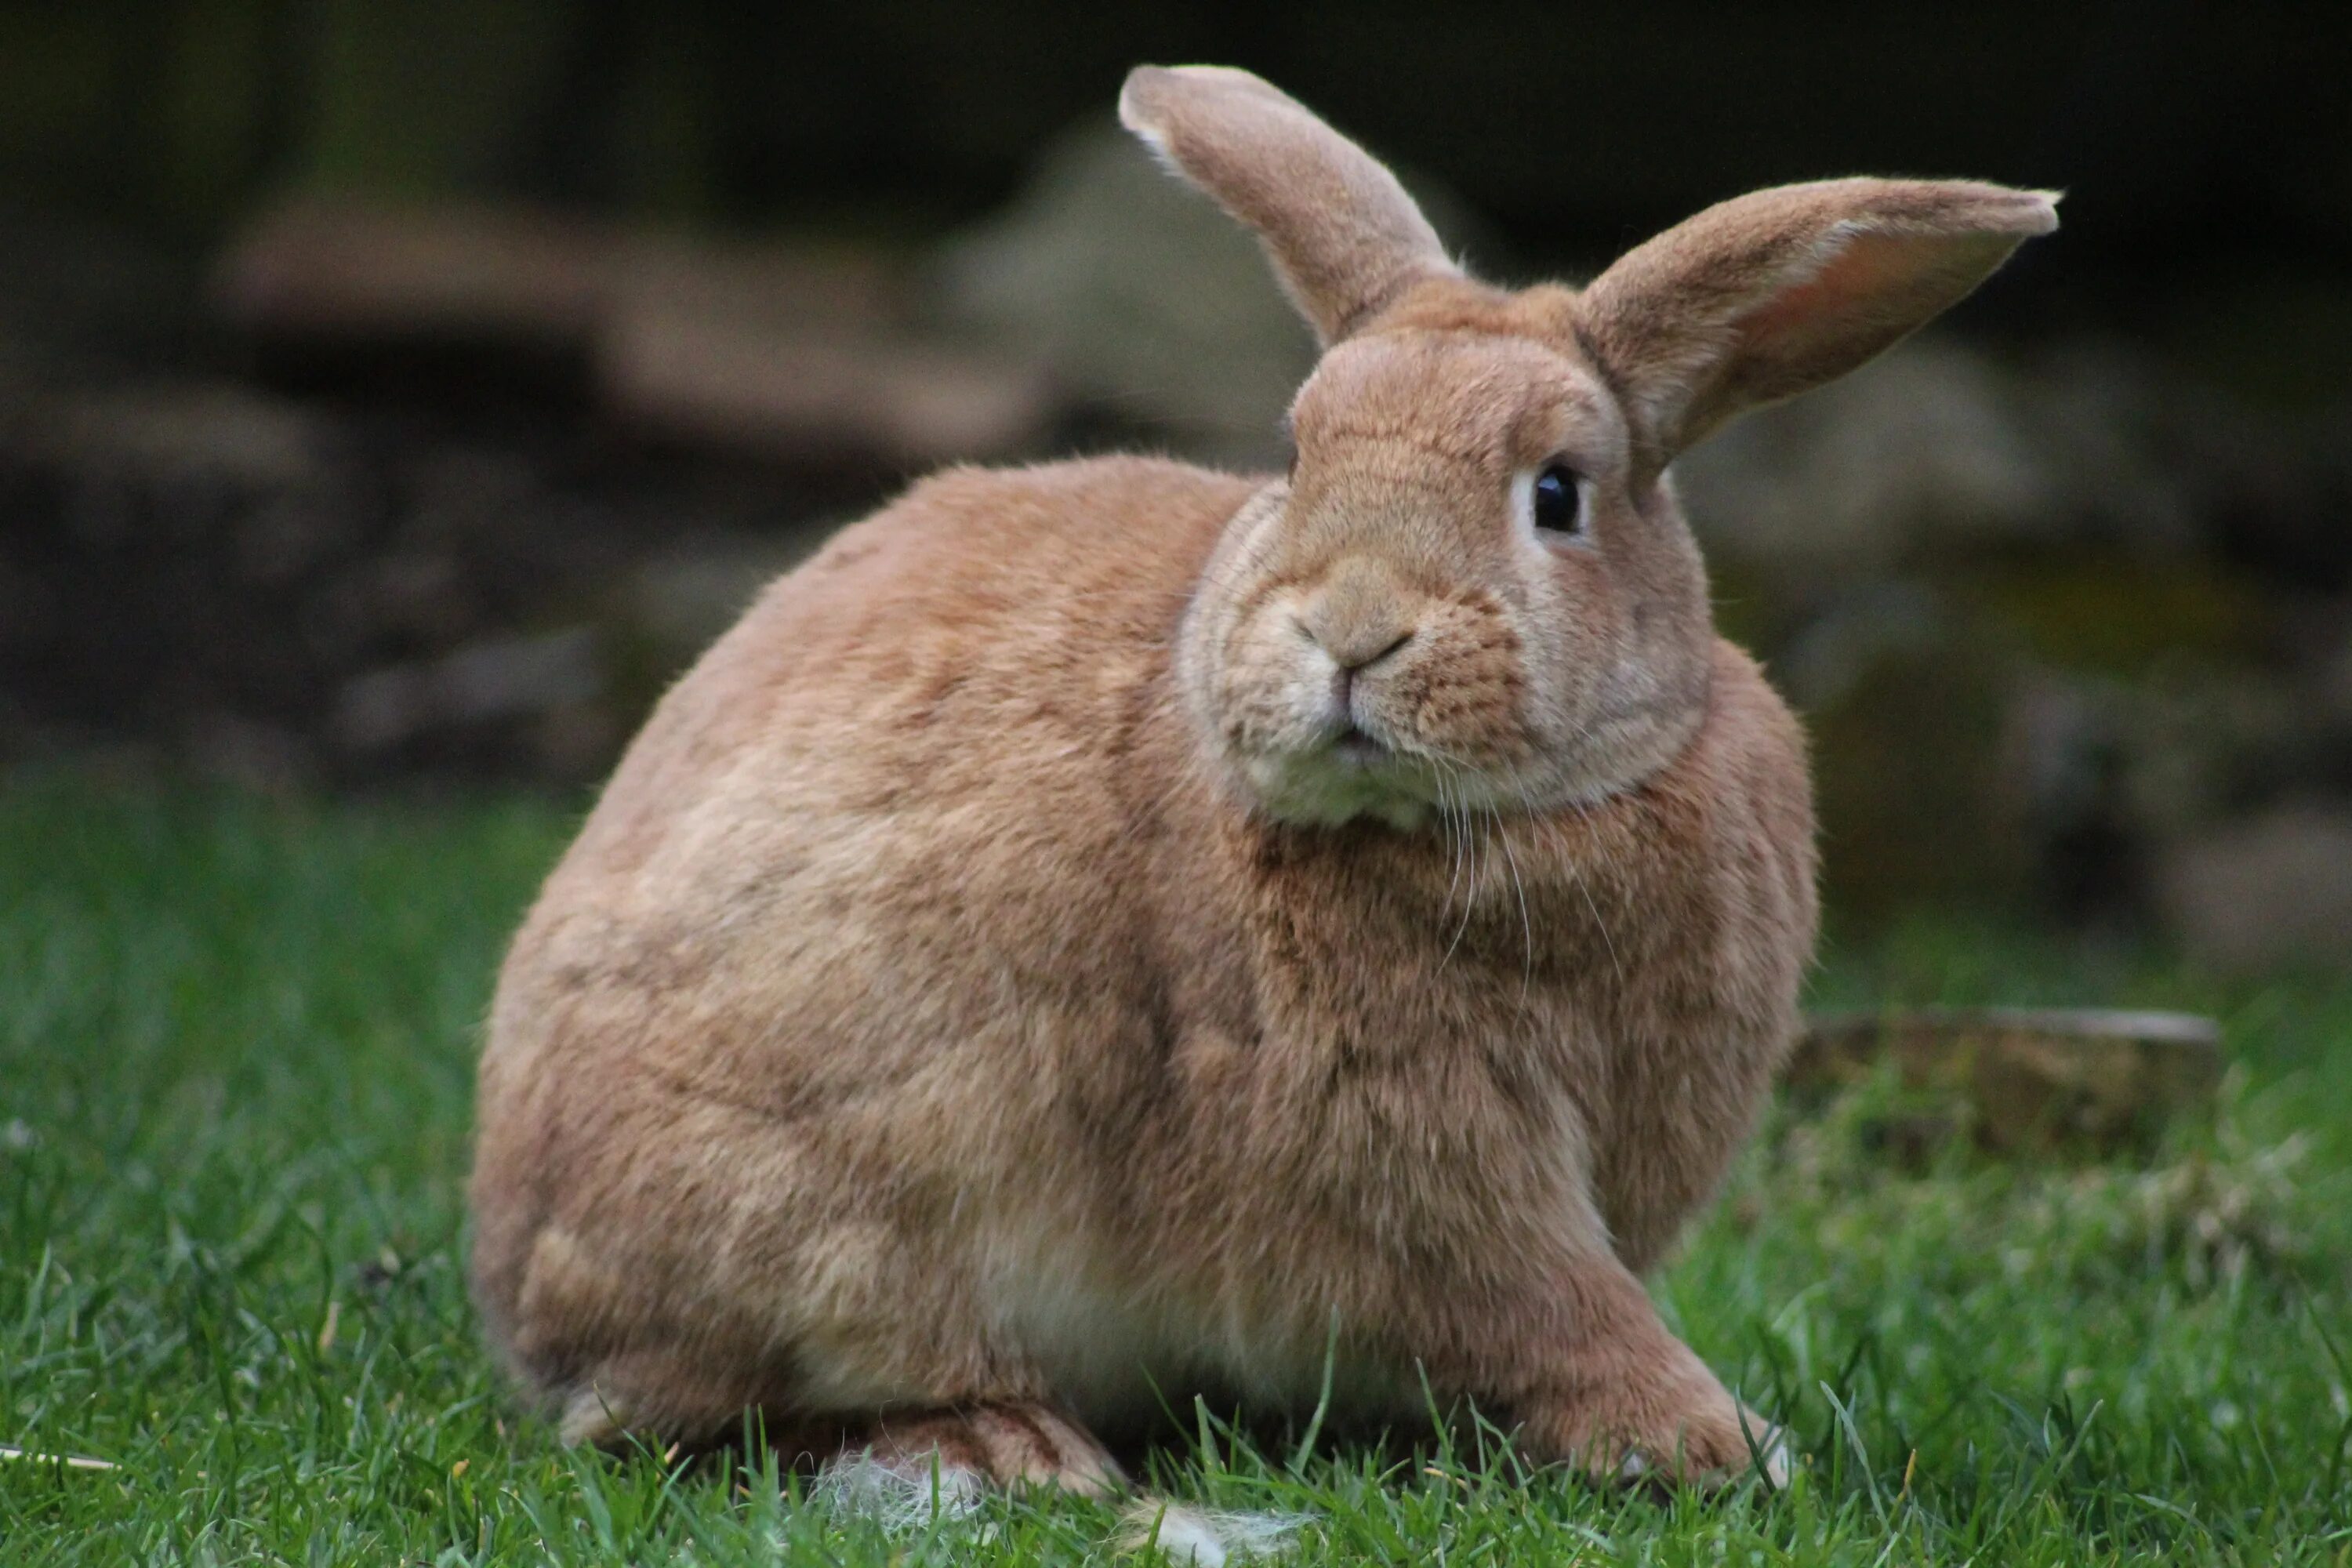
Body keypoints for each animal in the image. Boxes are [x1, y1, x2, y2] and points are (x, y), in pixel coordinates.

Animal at [468, 61, 2051, 1523]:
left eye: (1558, 492)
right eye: (1295, 455)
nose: (1352, 631)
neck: (1505, 820)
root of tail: (517, 1262)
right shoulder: (1426, 1164)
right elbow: (1550, 1305)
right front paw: (1716, 1443)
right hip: (834, 1216)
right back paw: (1004, 1449)